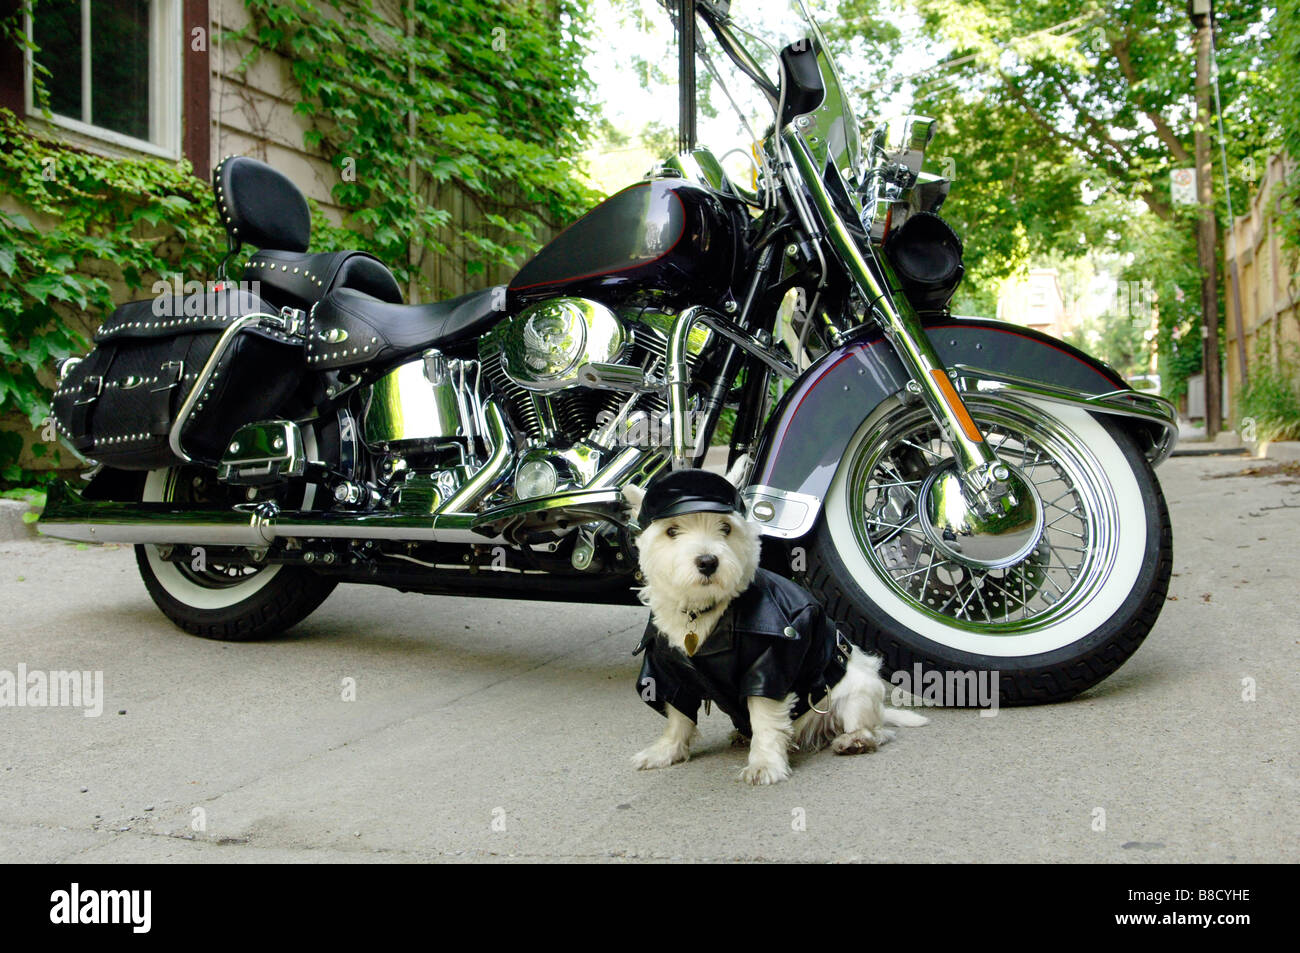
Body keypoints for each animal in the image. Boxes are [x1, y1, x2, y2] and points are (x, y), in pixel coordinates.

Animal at [624, 465, 920, 785]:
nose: (708, 562)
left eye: (725, 528)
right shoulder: (668, 668)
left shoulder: (769, 664)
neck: (701, 611)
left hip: (857, 691)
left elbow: (765, 717)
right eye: (671, 531)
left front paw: (764, 764)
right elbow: (678, 714)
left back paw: (855, 740)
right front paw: (665, 751)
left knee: (875, 729)